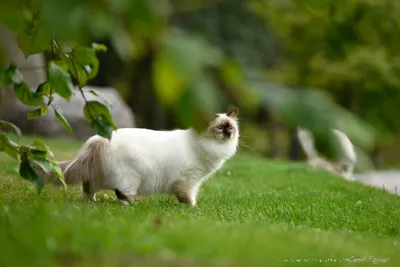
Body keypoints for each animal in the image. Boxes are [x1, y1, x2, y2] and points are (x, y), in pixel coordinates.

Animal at [42, 110, 239, 206]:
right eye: (220, 128)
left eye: (231, 127)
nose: (229, 133)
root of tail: (99, 138)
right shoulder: (189, 180)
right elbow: (188, 197)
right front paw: (192, 208)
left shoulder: (192, 180)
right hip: (130, 178)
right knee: (121, 193)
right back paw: (133, 206)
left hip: (100, 176)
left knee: (88, 188)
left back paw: (94, 202)